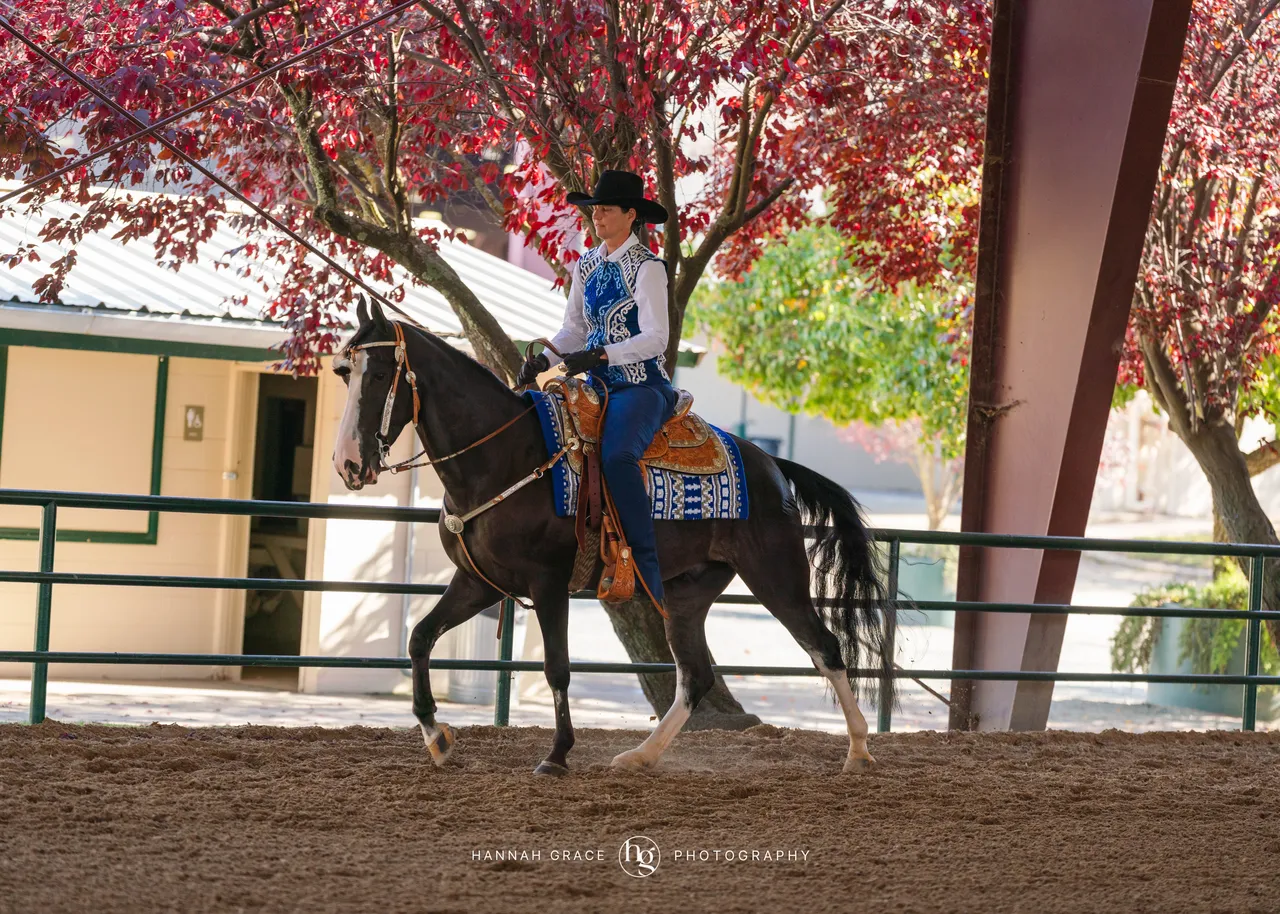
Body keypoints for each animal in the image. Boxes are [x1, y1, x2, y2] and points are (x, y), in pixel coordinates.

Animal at [331, 298, 893, 776]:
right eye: (343, 373)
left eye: (378, 374)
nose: (348, 464)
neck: (503, 457)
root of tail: (773, 464)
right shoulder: (479, 583)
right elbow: (420, 638)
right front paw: (436, 737)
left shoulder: (548, 584)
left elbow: (557, 667)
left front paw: (557, 755)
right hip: (688, 593)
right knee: (695, 675)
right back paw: (641, 756)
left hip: (777, 577)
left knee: (825, 648)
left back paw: (859, 751)